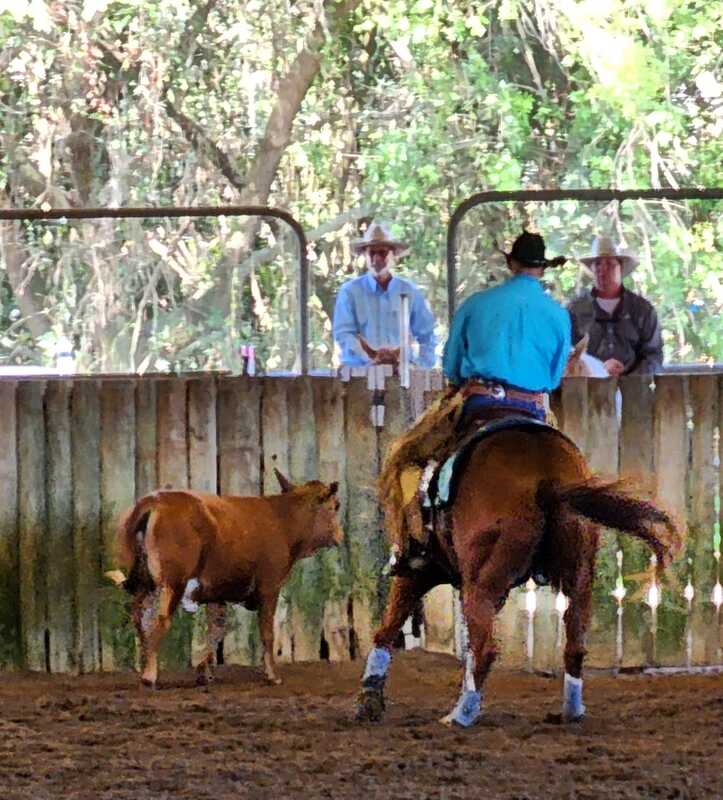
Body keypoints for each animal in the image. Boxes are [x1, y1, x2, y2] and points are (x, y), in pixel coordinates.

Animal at [107, 468, 342, 688]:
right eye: (335, 506)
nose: (340, 535)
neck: (283, 519)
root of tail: (155, 500)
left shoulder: (216, 594)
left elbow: (217, 630)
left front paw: (204, 672)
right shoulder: (269, 587)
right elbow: (266, 632)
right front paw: (272, 676)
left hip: (145, 583)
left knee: (139, 616)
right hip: (172, 584)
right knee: (159, 620)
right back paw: (149, 676)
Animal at [354, 376, 680, 724]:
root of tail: (546, 477)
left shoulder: (422, 571)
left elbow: (388, 627)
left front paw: (369, 698)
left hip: (480, 583)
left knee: (485, 648)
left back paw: (461, 715)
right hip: (577, 572)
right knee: (574, 646)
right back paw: (570, 710)